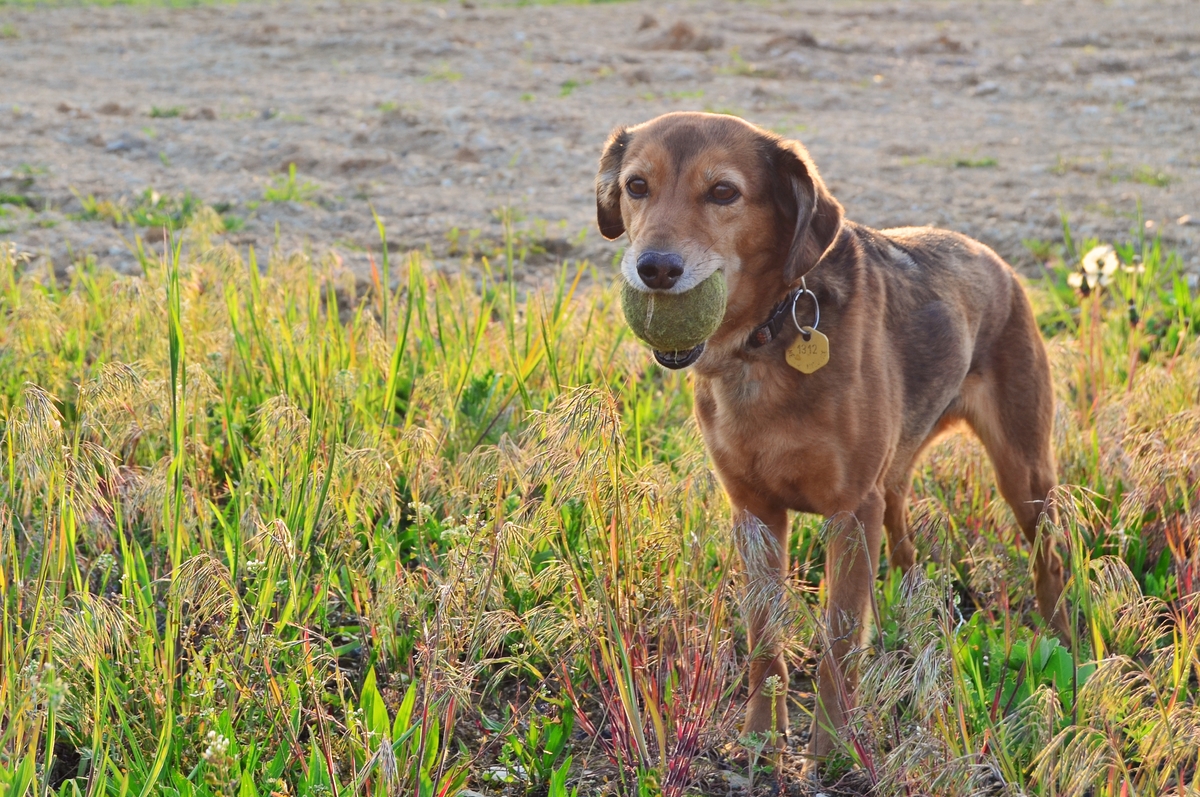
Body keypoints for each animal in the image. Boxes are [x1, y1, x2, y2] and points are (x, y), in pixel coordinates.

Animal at [594, 112, 1070, 769]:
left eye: (723, 192)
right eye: (637, 186)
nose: (655, 269)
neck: (763, 340)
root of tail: (990, 256)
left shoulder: (849, 513)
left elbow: (839, 644)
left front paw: (831, 747)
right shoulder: (755, 515)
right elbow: (764, 641)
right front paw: (761, 739)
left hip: (1024, 474)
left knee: (1050, 561)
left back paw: (1064, 645)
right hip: (896, 479)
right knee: (902, 538)